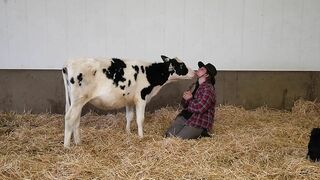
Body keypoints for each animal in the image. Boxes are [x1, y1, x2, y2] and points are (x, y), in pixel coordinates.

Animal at [61, 56, 194, 148]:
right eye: (182, 65)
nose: (194, 72)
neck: (149, 73)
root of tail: (68, 63)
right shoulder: (141, 98)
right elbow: (140, 119)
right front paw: (141, 136)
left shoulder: (129, 99)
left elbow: (129, 116)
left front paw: (128, 132)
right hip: (78, 100)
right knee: (69, 118)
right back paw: (67, 146)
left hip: (76, 102)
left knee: (76, 119)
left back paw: (78, 142)